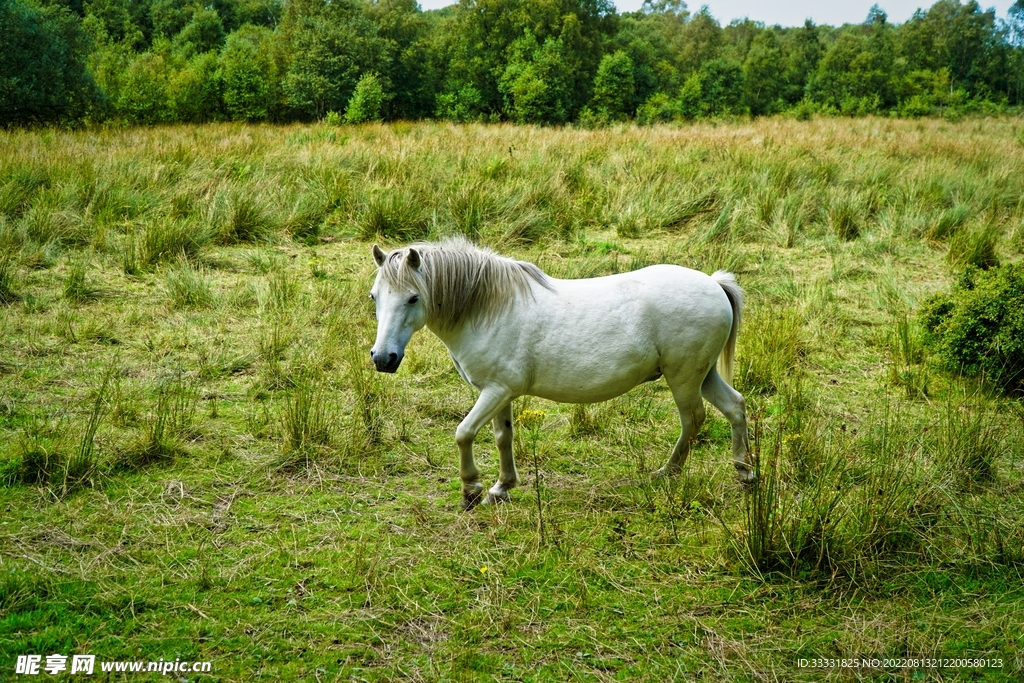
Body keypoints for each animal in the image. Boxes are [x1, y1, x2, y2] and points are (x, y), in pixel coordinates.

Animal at [368, 238, 752, 509]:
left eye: (413, 298)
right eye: (374, 296)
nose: (383, 358)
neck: (487, 308)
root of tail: (714, 284)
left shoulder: (495, 392)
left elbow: (464, 433)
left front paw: (472, 490)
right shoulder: (500, 393)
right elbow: (503, 437)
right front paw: (501, 488)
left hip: (684, 377)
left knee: (693, 419)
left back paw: (668, 472)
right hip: (703, 375)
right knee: (734, 406)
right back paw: (744, 472)